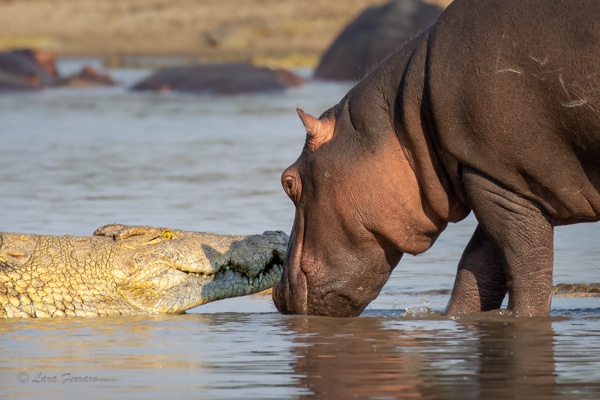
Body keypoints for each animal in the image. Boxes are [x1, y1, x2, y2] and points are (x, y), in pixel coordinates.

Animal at [274, 0, 600, 318]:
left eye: (288, 182)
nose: (277, 292)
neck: (403, 119)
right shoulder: (494, 176)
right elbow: (478, 265)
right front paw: (453, 318)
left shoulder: (502, 181)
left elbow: (525, 265)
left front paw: (523, 319)